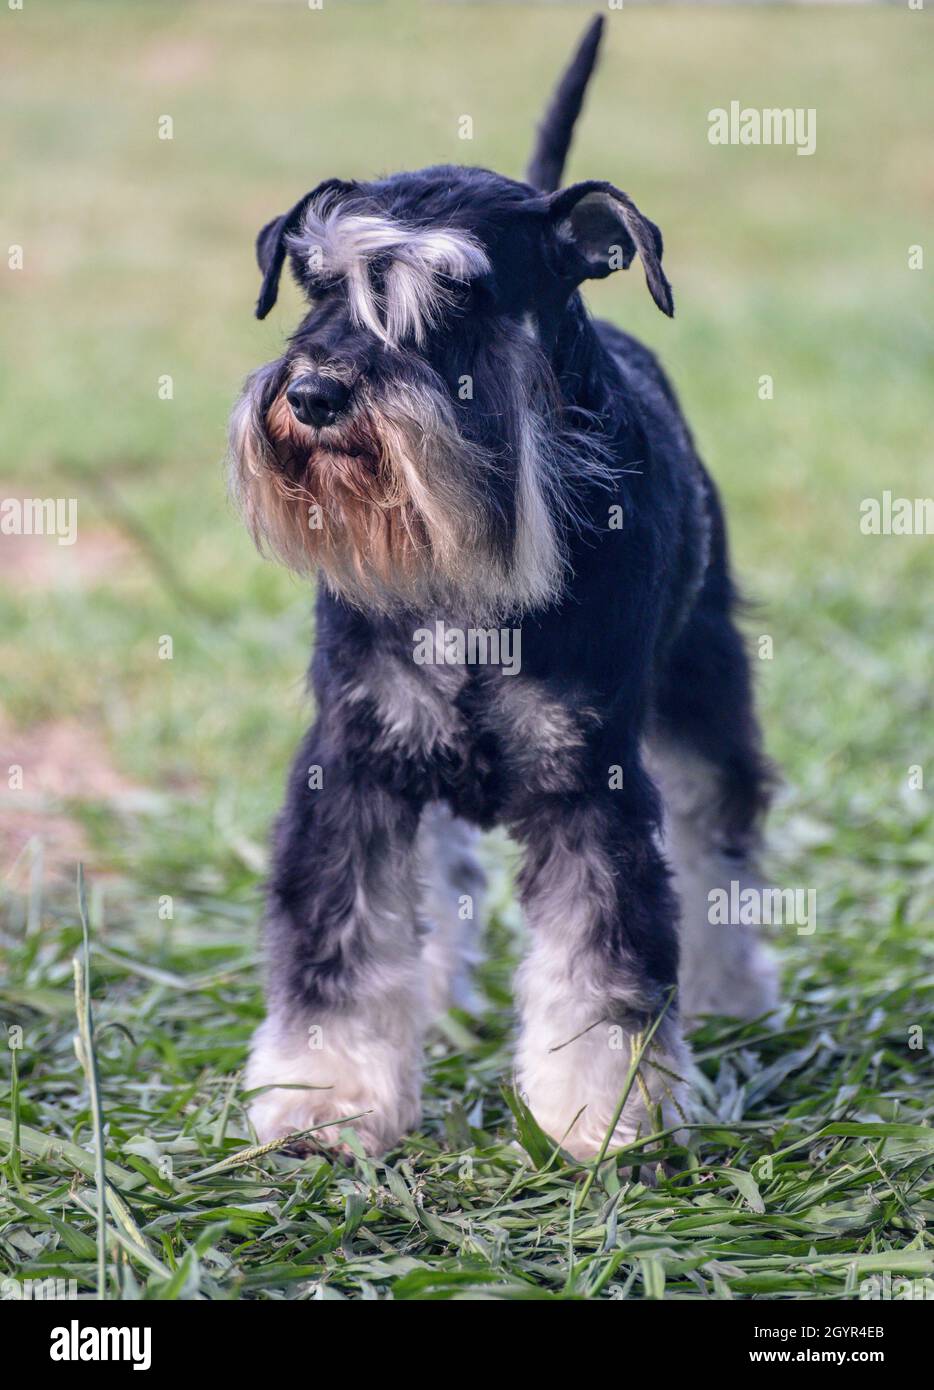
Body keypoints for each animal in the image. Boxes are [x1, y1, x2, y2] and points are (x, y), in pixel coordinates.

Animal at [229, 19, 778, 1162]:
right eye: (316, 288)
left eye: (461, 297)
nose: (314, 395)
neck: (465, 574)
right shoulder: (355, 762)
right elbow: (341, 940)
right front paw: (324, 1099)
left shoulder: (590, 780)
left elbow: (605, 961)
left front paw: (604, 1114)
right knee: (438, 878)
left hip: (703, 687)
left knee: (718, 837)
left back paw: (731, 993)